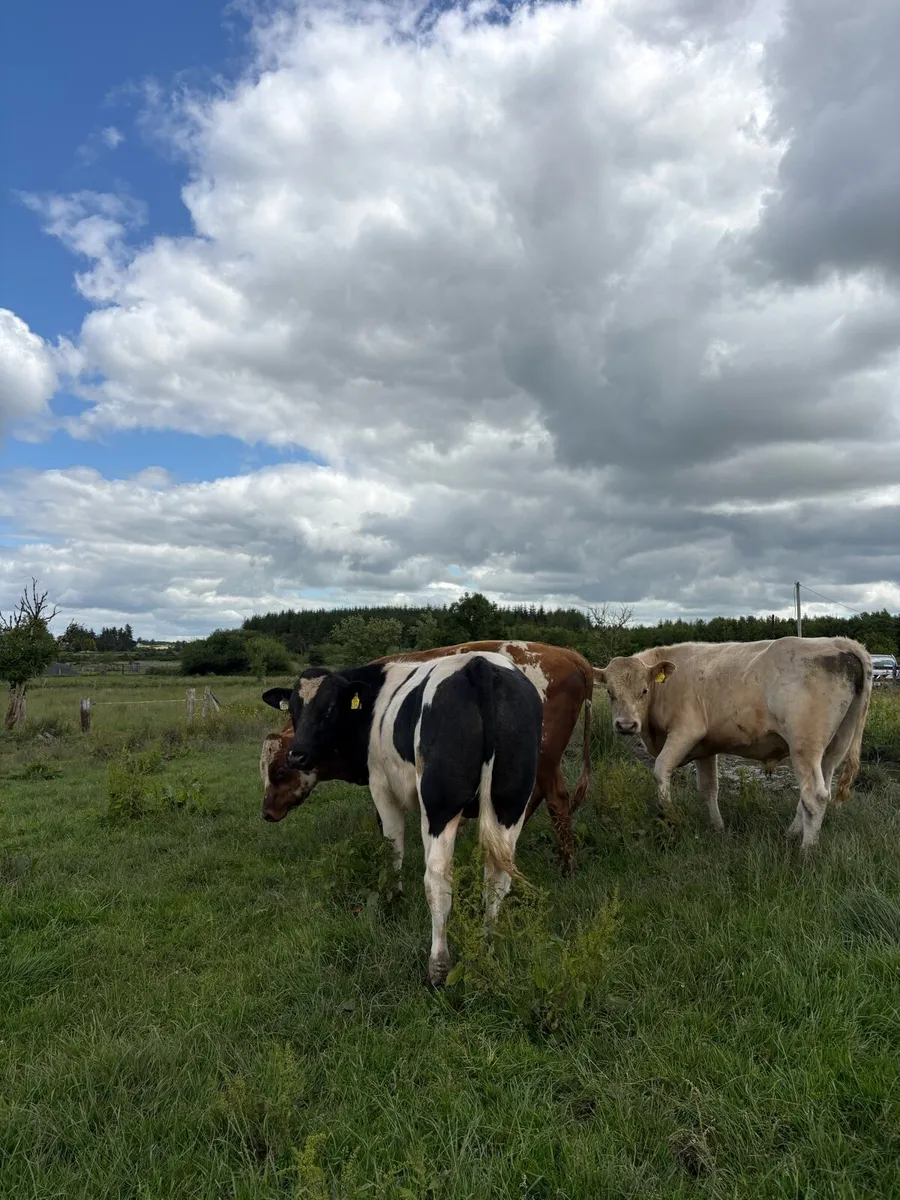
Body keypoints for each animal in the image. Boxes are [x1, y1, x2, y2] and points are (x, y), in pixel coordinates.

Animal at [260, 640, 594, 872]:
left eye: (279, 772)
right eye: (293, 710)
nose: (266, 812)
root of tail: (570, 655)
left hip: (544, 759)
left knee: (557, 800)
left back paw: (567, 867)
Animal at [283, 651, 543, 985]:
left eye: (328, 708)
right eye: (293, 708)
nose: (296, 755)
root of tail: (479, 664)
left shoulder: (381, 787)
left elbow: (393, 847)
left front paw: (393, 898)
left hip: (440, 804)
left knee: (437, 877)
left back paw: (438, 966)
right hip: (512, 802)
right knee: (497, 875)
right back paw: (488, 944)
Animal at [594, 637, 872, 850]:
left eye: (643, 691)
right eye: (609, 692)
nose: (626, 725)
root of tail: (839, 642)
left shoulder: (686, 731)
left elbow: (661, 770)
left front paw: (670, 819)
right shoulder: (706, 746)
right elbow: (709, 788)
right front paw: (718, 828)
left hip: (805, 744)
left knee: (814, 795)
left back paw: (806, 853)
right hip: (835, 746)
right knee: (814, 790)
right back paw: (792, 834)